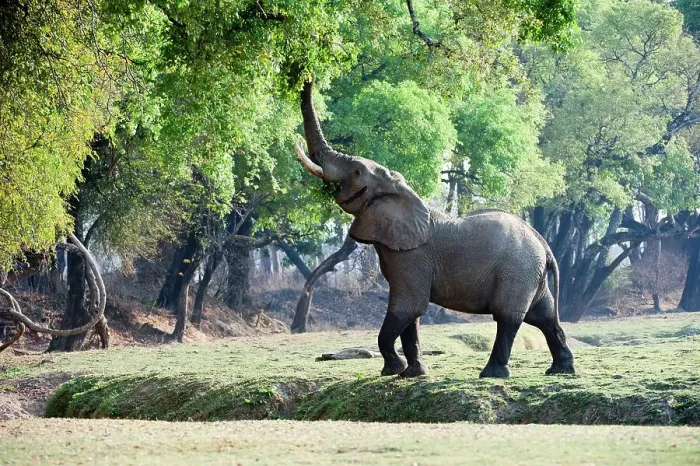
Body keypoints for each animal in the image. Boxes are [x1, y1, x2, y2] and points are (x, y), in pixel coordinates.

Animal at [294, 79, 575, 378]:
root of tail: (544, 244)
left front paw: (393, 370)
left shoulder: (412, 256)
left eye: (357, 171)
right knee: (544, 316)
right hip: (530, 274)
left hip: (517, 271)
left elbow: (408, 306)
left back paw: (492, 374)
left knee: (509, 317)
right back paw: (560, 370)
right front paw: (412, 373)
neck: (401, 192)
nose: (308, 78)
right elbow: (411, 316)